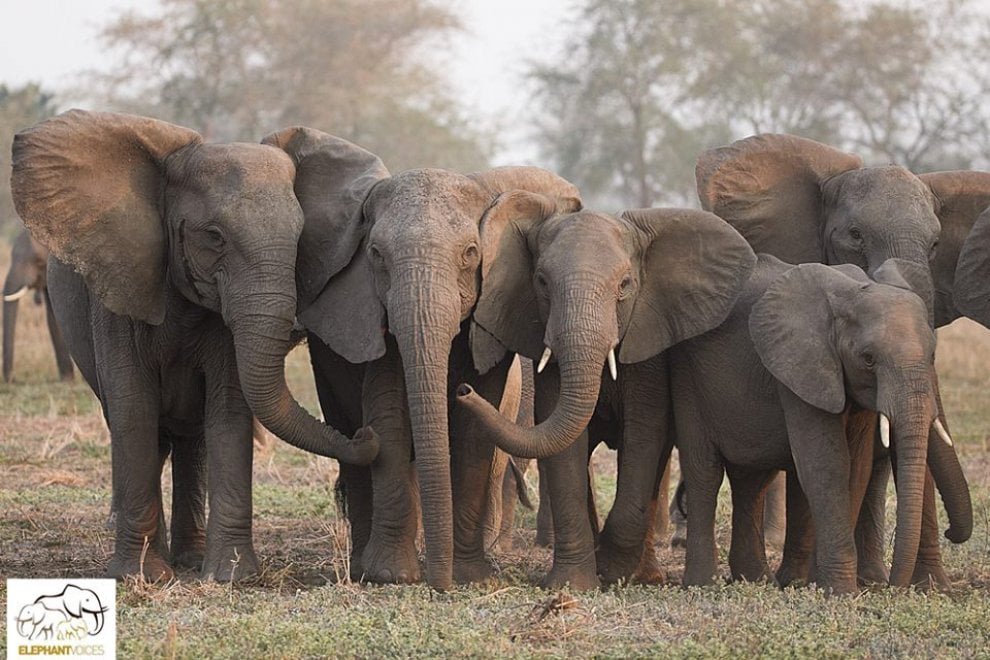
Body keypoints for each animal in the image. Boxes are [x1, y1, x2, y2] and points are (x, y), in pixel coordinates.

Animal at [11, 110, 379, 582]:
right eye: (214, 236)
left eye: (300, 238)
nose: (366, 435)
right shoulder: (119, 290)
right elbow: (134, 410)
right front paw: (140, 577)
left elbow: (229, 411)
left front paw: (231, 577)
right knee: (143, 430)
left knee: (193, 439)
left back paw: (189, 559)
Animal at [264, 125, 583, 591]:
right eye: (376, 255)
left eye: (471, 254)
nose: (440, 582)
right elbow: (388, 412)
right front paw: (392, 576)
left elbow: (474, 427)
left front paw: (470, 577)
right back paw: (360, 566)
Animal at [456, 207, 757, 589]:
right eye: (541, 282)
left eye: (625, 285)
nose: (464, 390)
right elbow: (565, 447)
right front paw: (572, 583)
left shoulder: (647, 344)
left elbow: (644, 434)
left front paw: (611, 569)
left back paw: (646, 576)